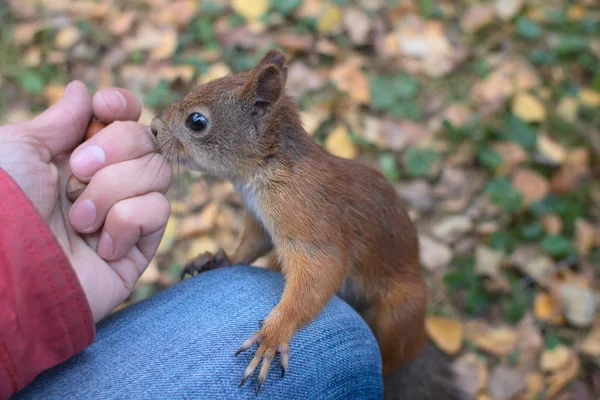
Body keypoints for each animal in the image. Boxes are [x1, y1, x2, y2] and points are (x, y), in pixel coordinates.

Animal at [151, 48, 468, 398]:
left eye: (197, 122)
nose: (152, 128)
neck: (266, 168)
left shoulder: (308, 217)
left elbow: (321, 269)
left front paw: (273, 334)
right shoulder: (260, 221)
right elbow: (251, 245)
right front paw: (218, 259)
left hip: (400, 311)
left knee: (393, 354)